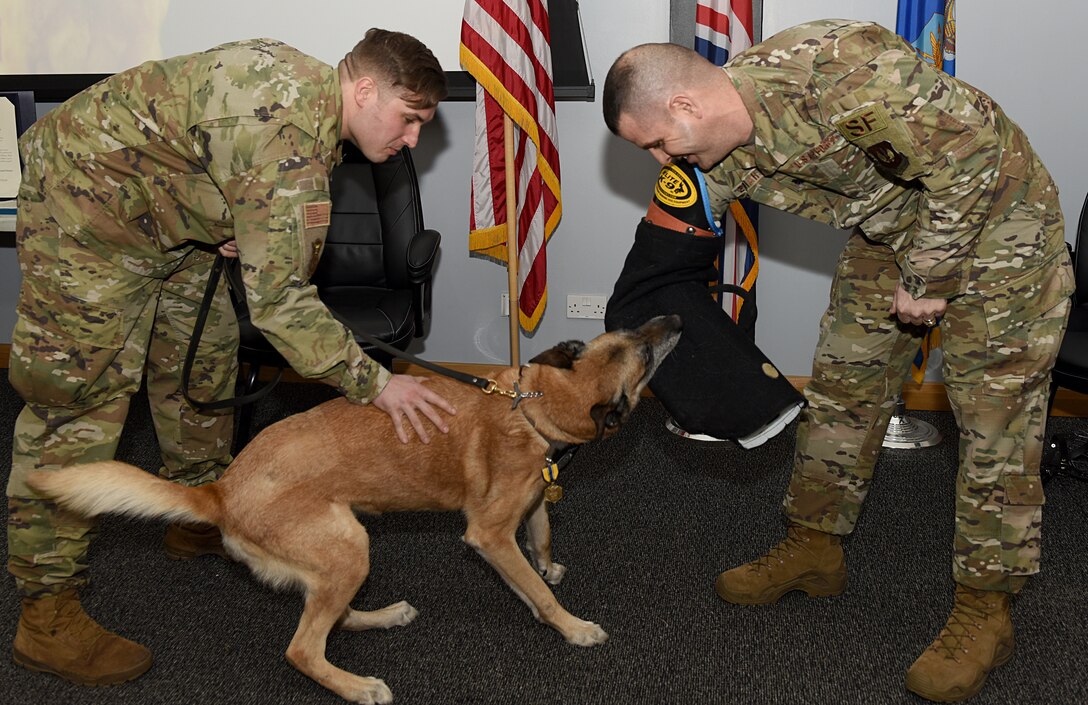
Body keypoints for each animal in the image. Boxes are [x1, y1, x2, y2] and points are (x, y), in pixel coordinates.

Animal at [29, 315, 678, 705]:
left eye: (628, 335)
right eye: (642, 352)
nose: (671, 320)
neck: (532, 403)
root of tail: (218, 491)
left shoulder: (530, 500)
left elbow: (540, 534)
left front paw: (548, 563)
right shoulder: (489, 535)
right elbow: (537, 592)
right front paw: (571, 626)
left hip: (344, 552)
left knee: (332, 619)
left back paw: (383, 616)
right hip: (347, 549)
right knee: (303, 648)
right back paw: (358, 685)